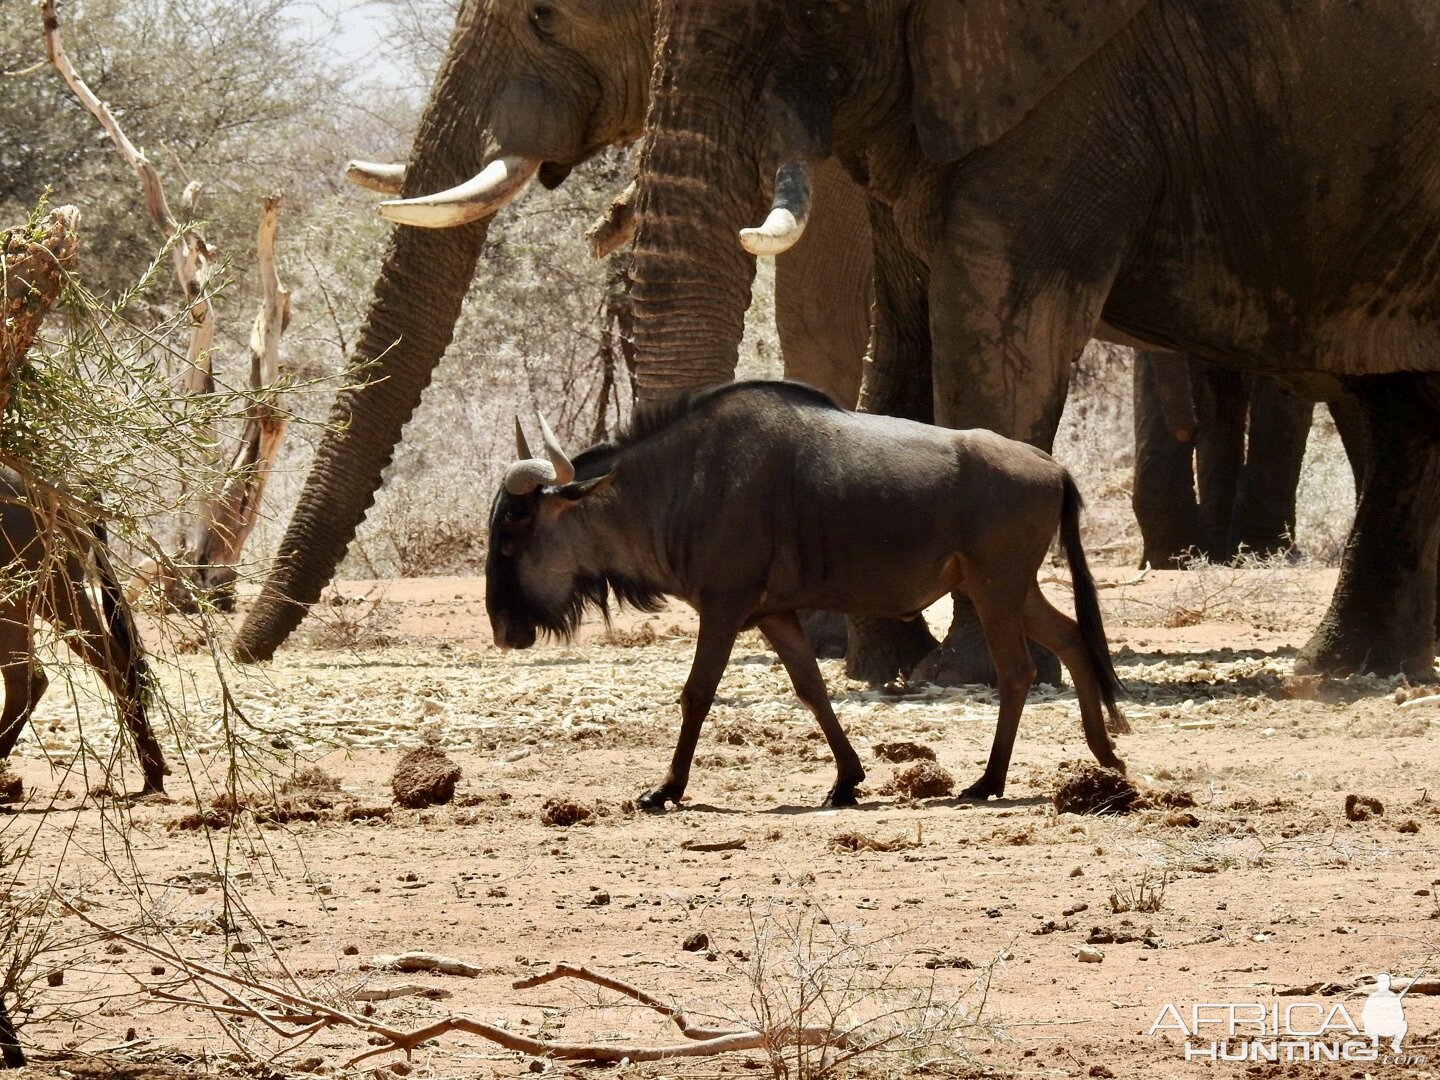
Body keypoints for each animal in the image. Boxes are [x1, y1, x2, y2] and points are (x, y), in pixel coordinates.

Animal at [616, 0, 1440, 676]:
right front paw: (886, 668)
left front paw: (965, 674)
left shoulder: (1078, 83)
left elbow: (1000, 323)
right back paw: (1347, 664)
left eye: (808, 8)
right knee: (1401, 405)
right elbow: (902, 337)